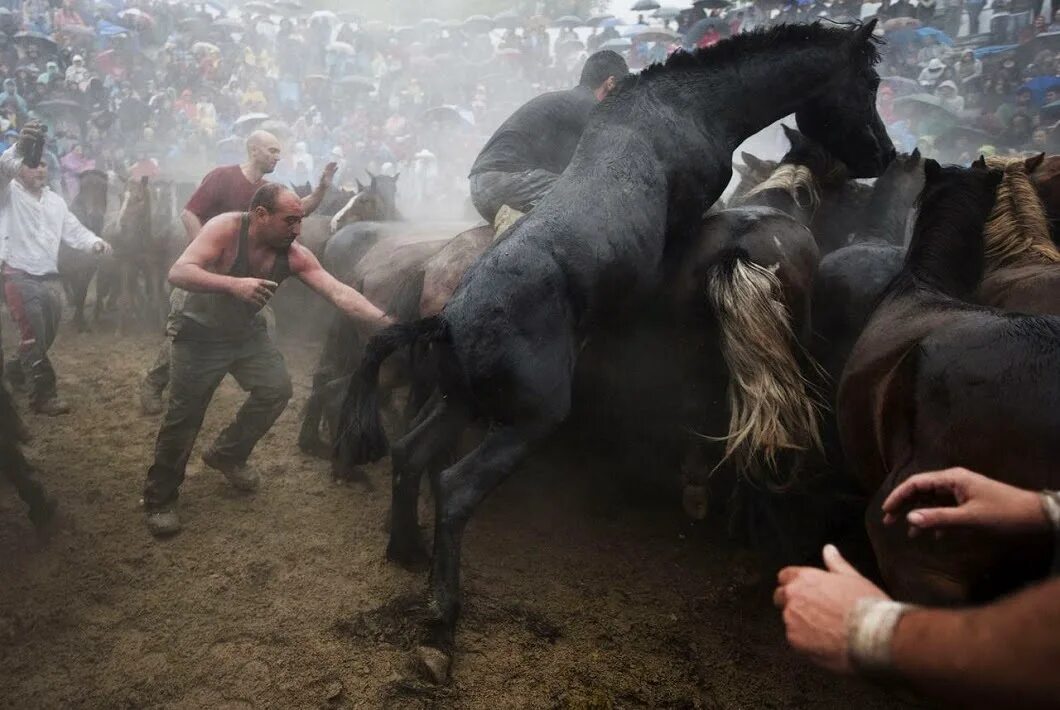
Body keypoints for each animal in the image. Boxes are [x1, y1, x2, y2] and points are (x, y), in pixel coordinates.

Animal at [334, 19, 890, 682]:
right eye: (869, 82)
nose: (886, 156)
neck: (687, 104)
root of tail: (446, 318)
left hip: (459, 401)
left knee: (409, 453)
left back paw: (406, 550)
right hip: (530, 419)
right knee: (455, 487)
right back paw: (443, 613)